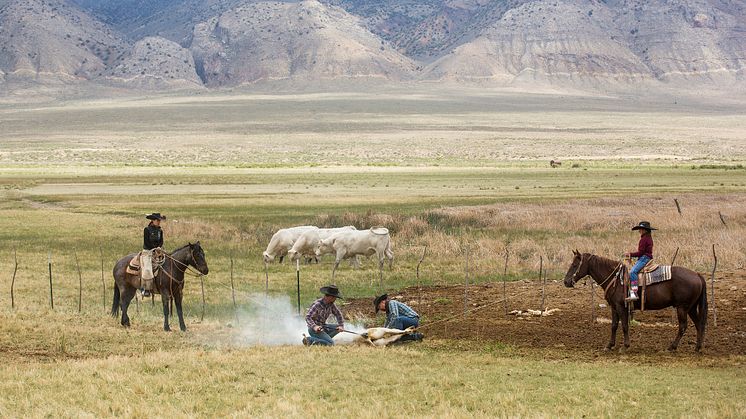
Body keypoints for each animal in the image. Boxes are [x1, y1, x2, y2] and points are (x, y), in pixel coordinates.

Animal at [564, 251, 704, 352]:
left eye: (575, 265)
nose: (566, 281)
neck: (616, 280)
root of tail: (697, 274)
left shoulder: (621, 307)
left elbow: (625, 326)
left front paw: (625, 346)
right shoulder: (614, 307)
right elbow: (614, 325)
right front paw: (609, 345)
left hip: (682, 308)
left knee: (683, 326)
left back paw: (672, 347)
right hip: (691, 308)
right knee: (699, 324)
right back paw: (697, 347)